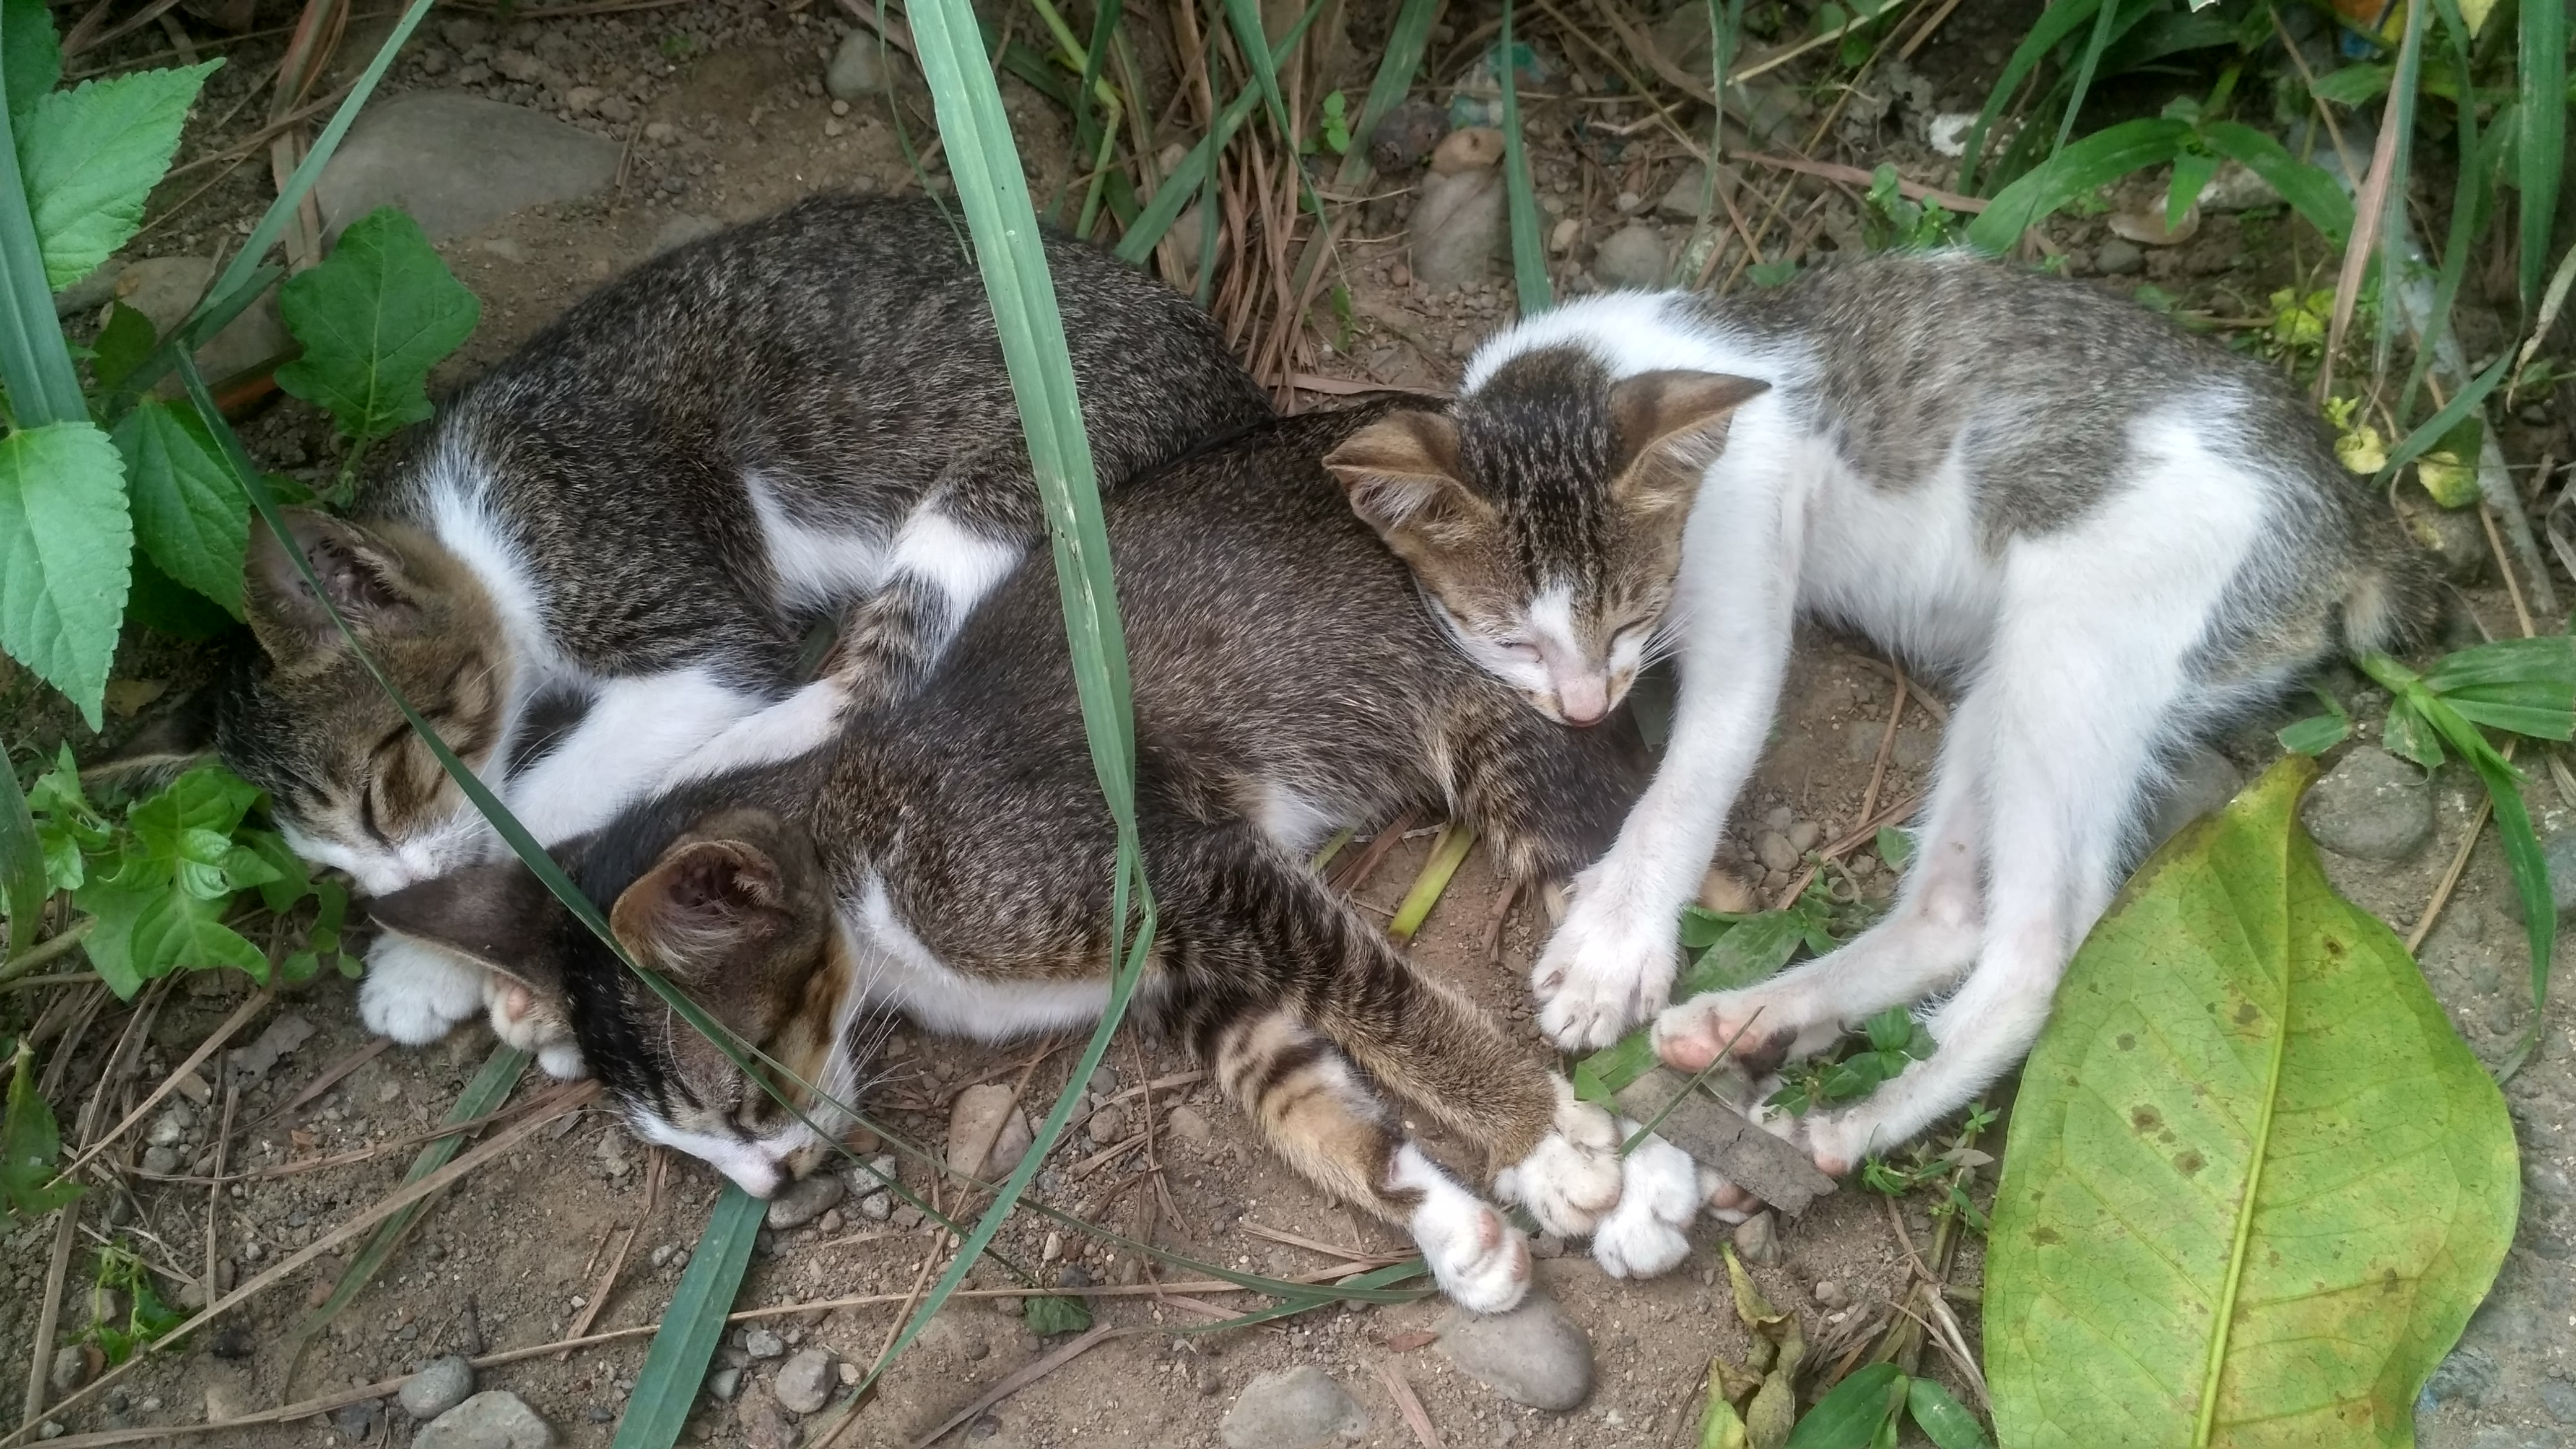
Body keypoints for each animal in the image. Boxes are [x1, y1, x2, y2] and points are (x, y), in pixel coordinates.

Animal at [209, 191, 1271, 1065]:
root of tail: (1233, 372)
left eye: (379, 793)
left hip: (1020, 484)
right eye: (330, 863)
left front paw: (423, 958)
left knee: (864, 688)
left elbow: (533, 802)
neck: (473, 524)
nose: (383, 896)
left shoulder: (669, 610)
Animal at [365, 405, 1717, 1311]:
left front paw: (1537, 1136)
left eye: (742, 1102)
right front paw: (1450, 1224)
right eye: (686, 1149)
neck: (865, 858)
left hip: (1514, 713)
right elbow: (1304, 1096)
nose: (764, 1181)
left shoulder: (1178, 868)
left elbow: (1375, 993)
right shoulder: (1186, 975)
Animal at [1321, 251, 2437, 1178]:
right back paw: (1756, 1021)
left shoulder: (1744, 574)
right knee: (1952, 918)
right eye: (1511, 638)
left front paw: (1613, 945)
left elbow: (1690, 786)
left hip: (2077, 645)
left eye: (1632, 611)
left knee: (2038, 949)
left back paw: (1857, 1121)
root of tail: (2355, 518)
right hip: (2008, 683)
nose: (1590, 705)